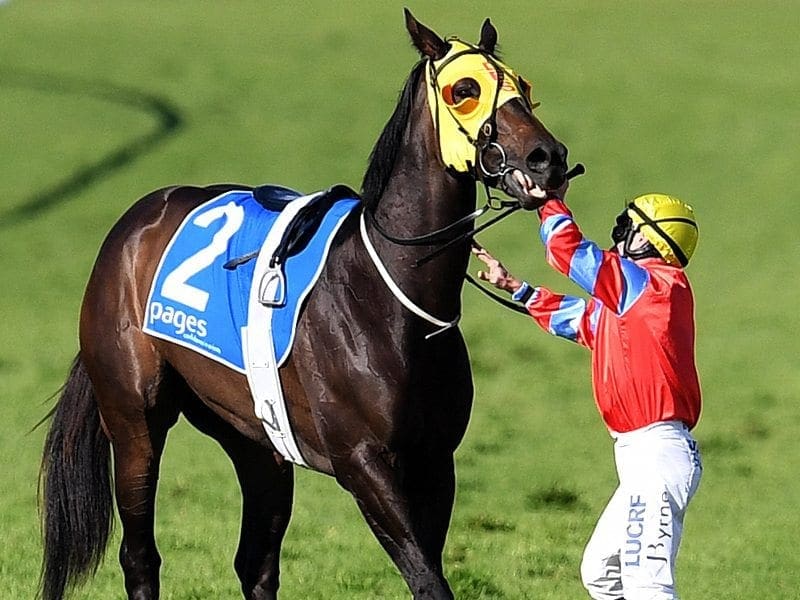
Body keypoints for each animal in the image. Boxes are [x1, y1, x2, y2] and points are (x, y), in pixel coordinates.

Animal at [42, 10, 568, 600]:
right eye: (465, 90)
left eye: (525, 87)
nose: (549, 158)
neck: (391, 297)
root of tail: (133, 223)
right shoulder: (364, 464)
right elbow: (429, 580)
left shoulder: (435, 462)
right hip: (134, 422)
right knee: (139, 557)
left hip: (256, 439)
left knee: (256, 564)